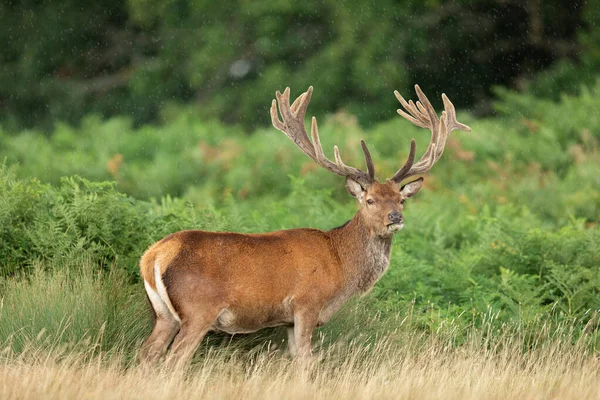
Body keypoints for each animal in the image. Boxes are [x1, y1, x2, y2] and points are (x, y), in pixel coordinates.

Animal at [138, 85, 472, 366]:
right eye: (370, 200)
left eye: (401, 200)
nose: (395, 218)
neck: (341, 265)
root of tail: (153, 256)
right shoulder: (306, 304)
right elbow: (306, 362)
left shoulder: (287, 320)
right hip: (198, 309)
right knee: (173, 359)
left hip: (164, 314)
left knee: (147, 353)